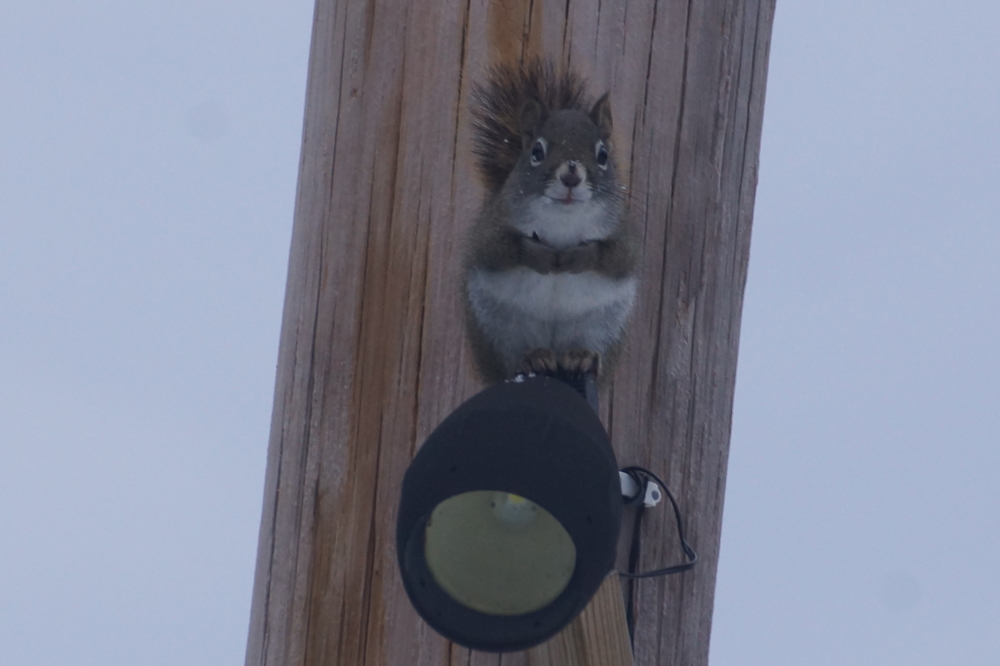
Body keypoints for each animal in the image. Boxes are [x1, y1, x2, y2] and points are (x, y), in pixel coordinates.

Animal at [462, 61, 639, 385]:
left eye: (603, 155)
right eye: (537, 152)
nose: (571, 174)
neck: (563, 218)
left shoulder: (623, 231)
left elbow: (617, 257)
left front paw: (579, 256)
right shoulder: (494, 222)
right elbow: (496, 249)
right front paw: (540, 255)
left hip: (603, 327)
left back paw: (581, 356)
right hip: (498, 327)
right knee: (512, 358)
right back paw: (532, 357)